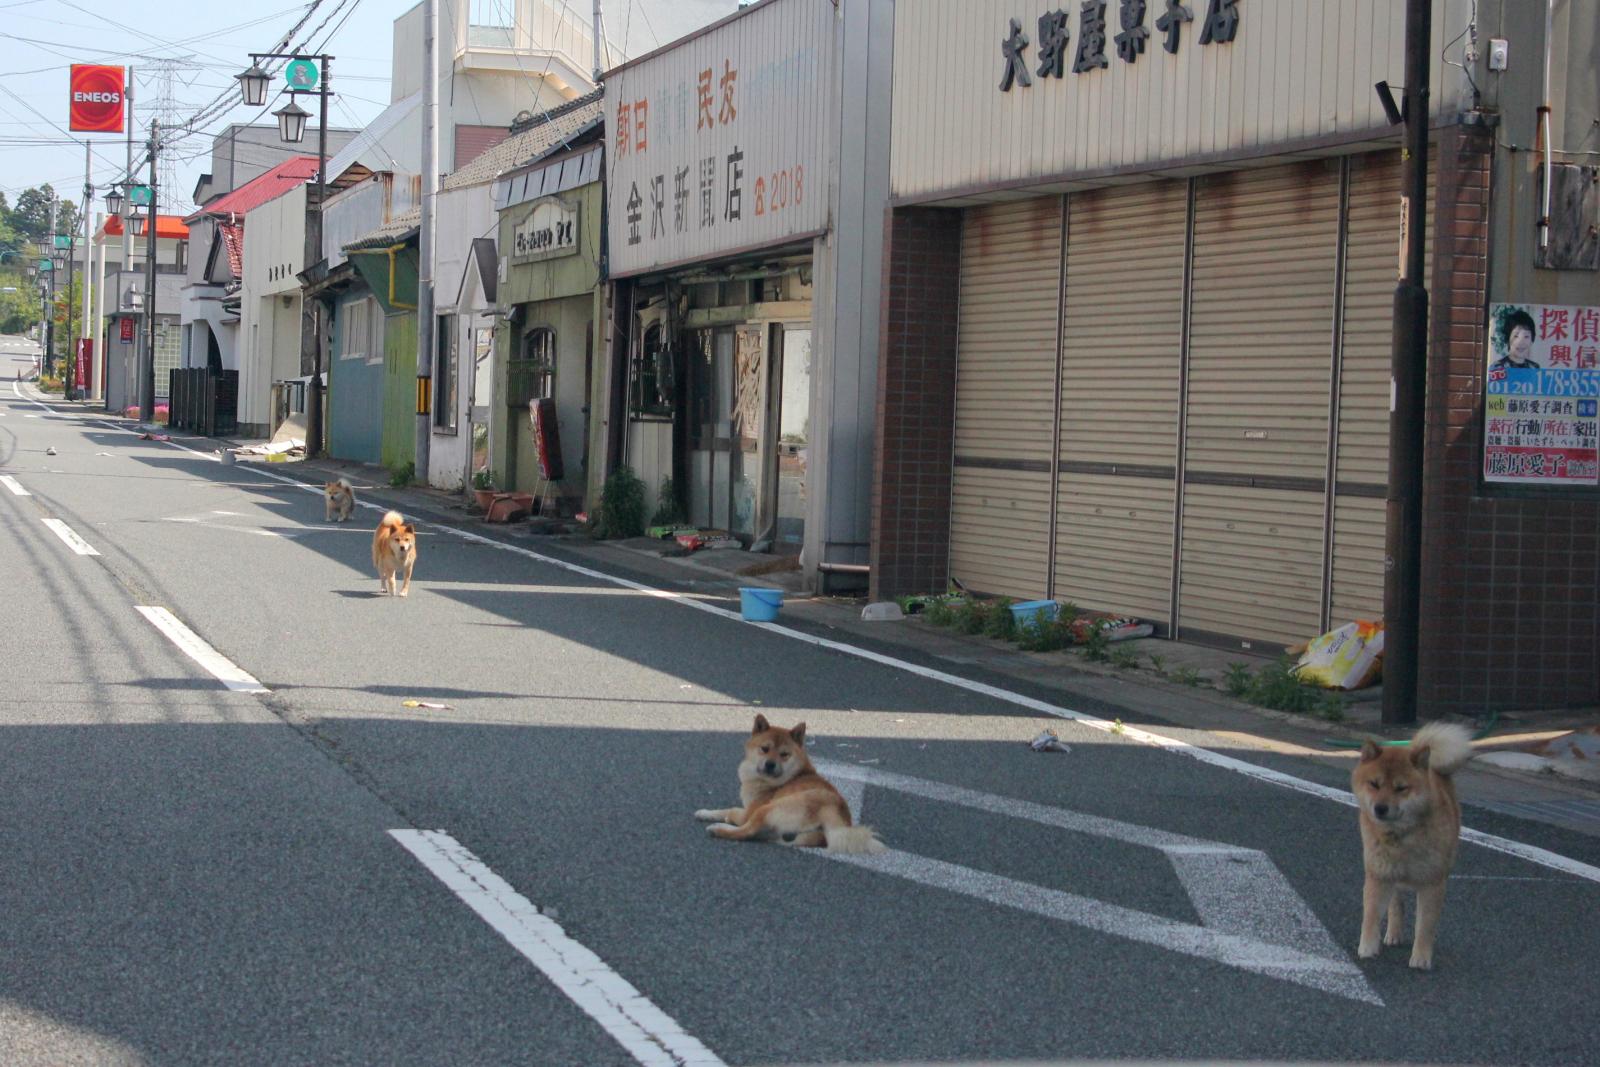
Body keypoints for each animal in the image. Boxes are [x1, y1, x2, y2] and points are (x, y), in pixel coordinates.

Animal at [691, 713, 883, 857]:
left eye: (784, 754)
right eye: (765, 749)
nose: (770, 764)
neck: (790, 776)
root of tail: (835, 816)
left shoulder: (749, 812)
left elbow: (730, 811)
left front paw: (713, 816)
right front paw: (705, 813)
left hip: (769, 809)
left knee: (746, 832)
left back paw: (718, 829)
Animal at [1350, 723, 1472, 972]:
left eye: (1401, 788)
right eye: (1374, 784)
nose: (1380, 808)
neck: (1401, 836)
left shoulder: (1432, 883)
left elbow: (1425, 926)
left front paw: (1421, 957)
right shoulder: (1378, 875)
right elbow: (1371, 915)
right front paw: (1367, 947)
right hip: (1390, 875)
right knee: (1396, 904)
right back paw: (1393, 934)